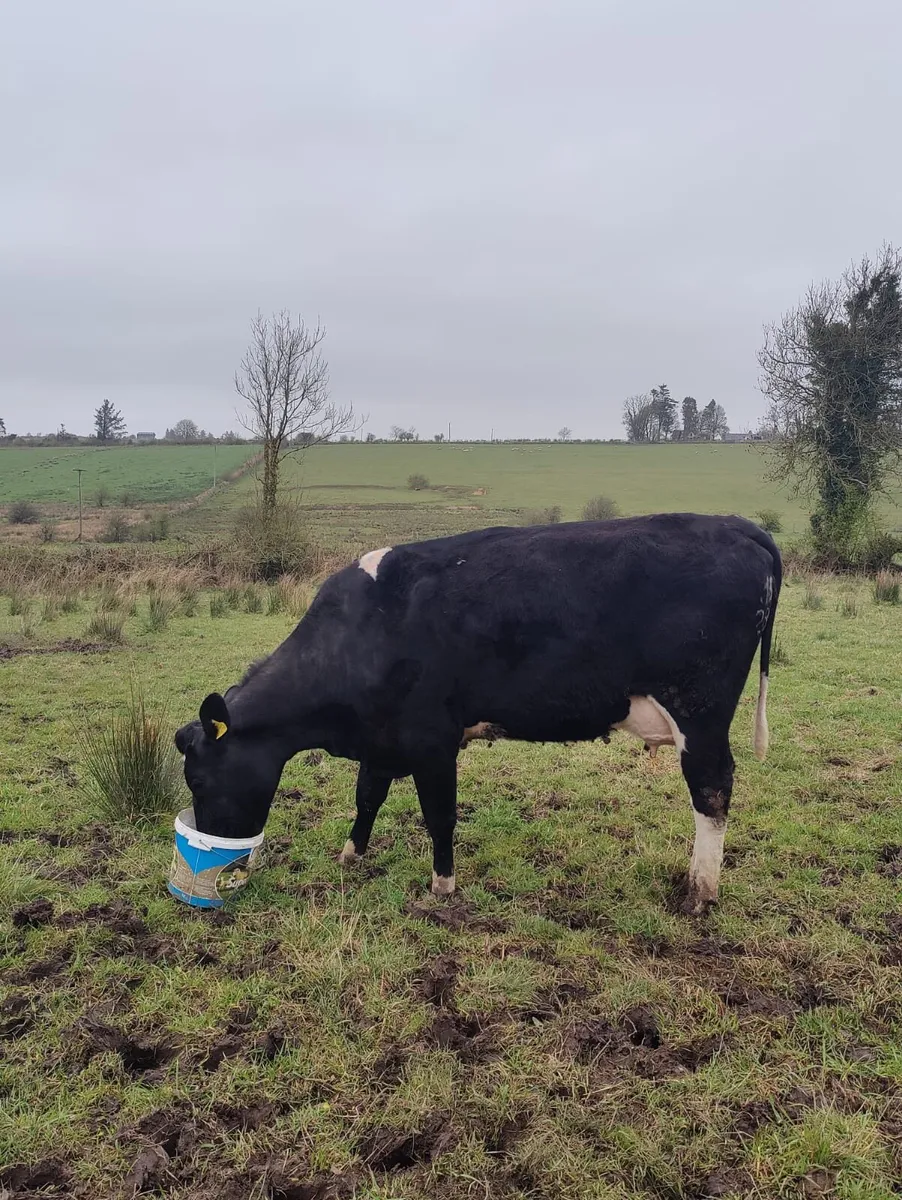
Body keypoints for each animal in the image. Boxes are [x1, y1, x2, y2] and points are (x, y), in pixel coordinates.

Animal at [175, 513, 781, 916]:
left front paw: (441, 886)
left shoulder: (432, 739)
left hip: (699, 713)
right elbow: (367, 796)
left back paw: (699, 892)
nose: (218, 854)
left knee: (713, 791)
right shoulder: (383, 737)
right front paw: (351, 854)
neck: (359, 633)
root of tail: (734, 524)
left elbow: (440, 814)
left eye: (198, 779)